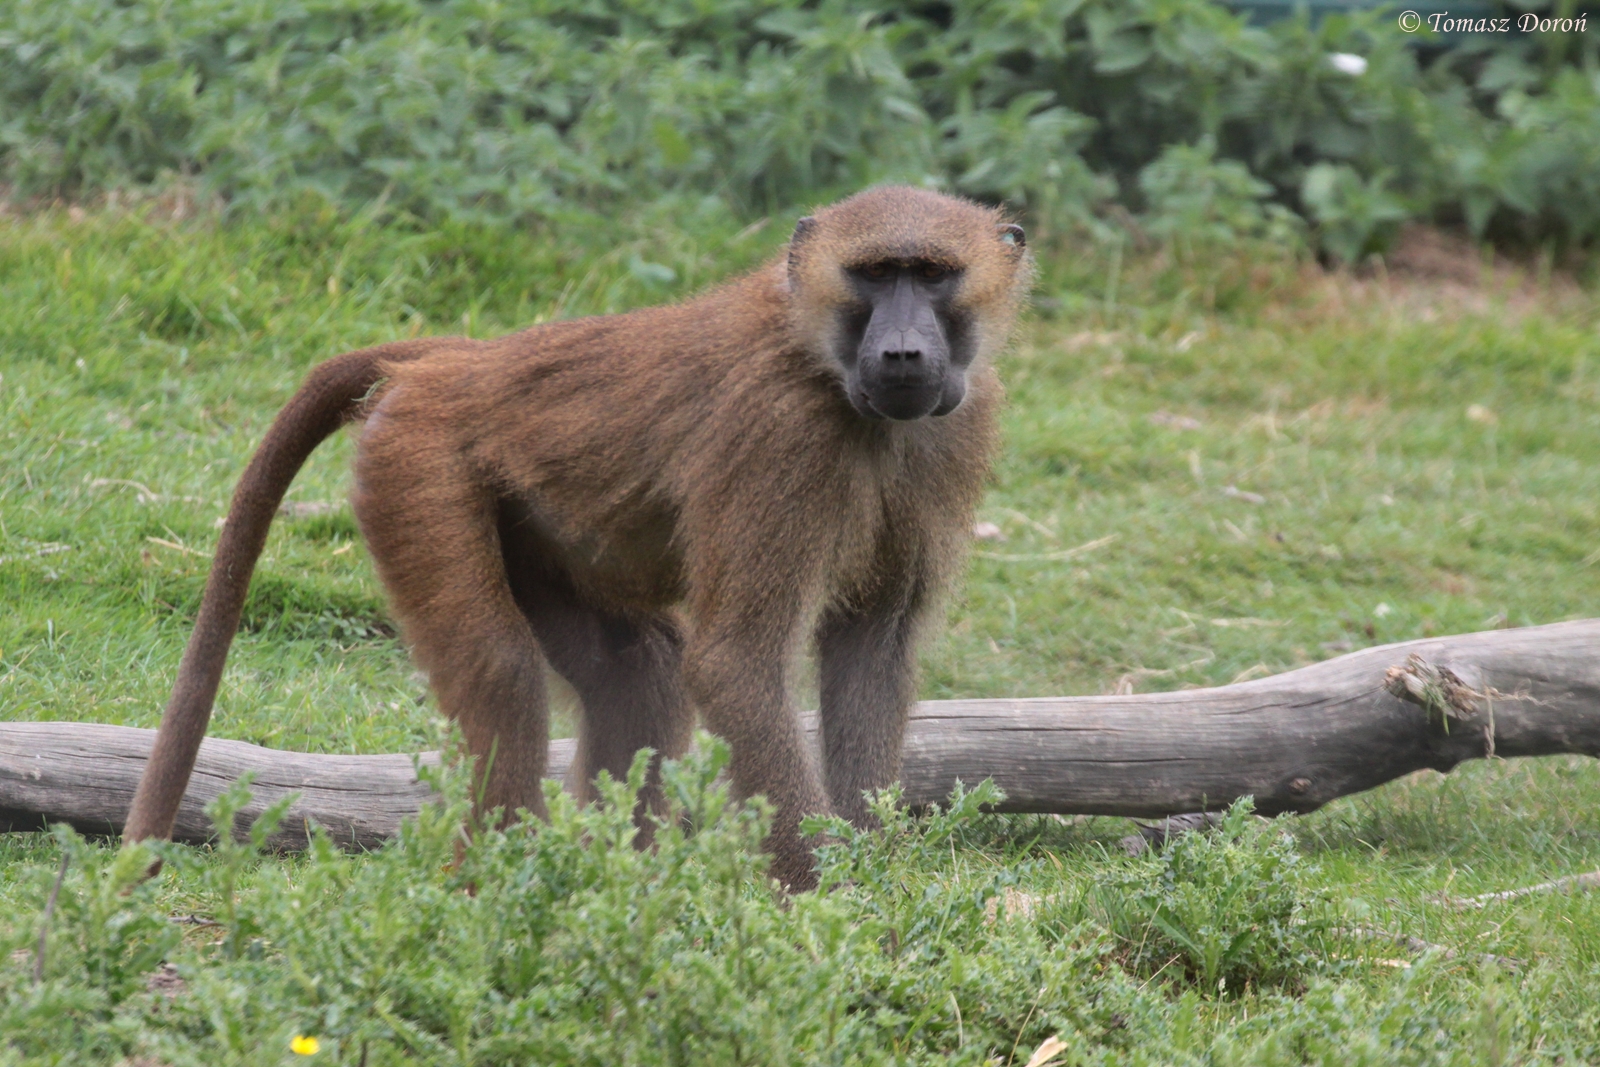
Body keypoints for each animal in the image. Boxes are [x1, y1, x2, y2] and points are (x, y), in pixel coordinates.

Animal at [123, 185, 1033, 890]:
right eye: (875, 275)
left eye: (932, 275)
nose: (903, 353)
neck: (824, 362)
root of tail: (460, 364)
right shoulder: (782, 437)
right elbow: (736, 663)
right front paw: (836, 904)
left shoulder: (957, 425)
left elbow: (873, 646)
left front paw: (866, 865)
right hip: (417, 464)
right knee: (500, 668)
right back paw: (496, 892)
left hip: (531, 524)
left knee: (641, 672)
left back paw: (608, 881)